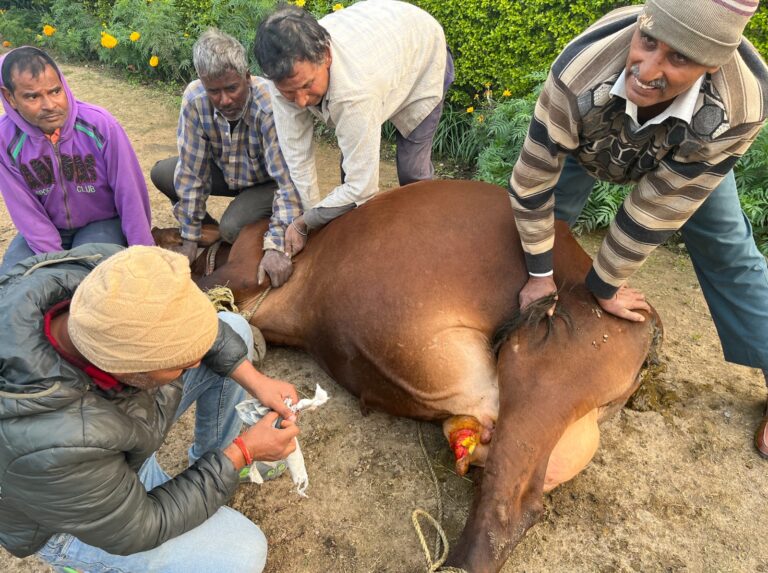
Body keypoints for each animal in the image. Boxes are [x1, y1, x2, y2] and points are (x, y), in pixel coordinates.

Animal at [154, 180, 660, 572]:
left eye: (179, 234)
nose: (158, 228)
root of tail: (642, 321)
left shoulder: (245, 267)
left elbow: (204, 289)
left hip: (539, 359)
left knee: (507, 507)